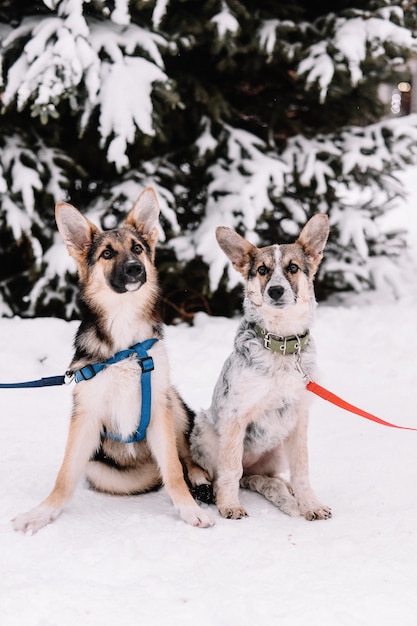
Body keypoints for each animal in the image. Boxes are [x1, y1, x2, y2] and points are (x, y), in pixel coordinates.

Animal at [191, 214, 332, 520]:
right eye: (262, 270)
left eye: (293, 268)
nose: (276, 290)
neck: (282, 345)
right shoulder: (235, 416)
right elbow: (230, 469)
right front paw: (229, 505)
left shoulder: (299, 418)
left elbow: (302, 470)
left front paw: (310, 504)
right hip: (206, 430)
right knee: (221, 474)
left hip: (277, 448)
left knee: (266, 478)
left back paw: (285, 491)